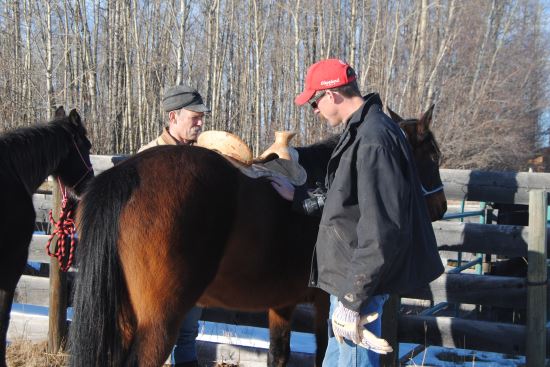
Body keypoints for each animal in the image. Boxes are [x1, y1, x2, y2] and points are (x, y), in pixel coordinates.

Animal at [70, 105, 448, 366]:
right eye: (433, 154)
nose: (441, 206)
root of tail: (129, 172)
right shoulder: (322, 303)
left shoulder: (280, 303)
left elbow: (278, 355)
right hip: (158, 322)